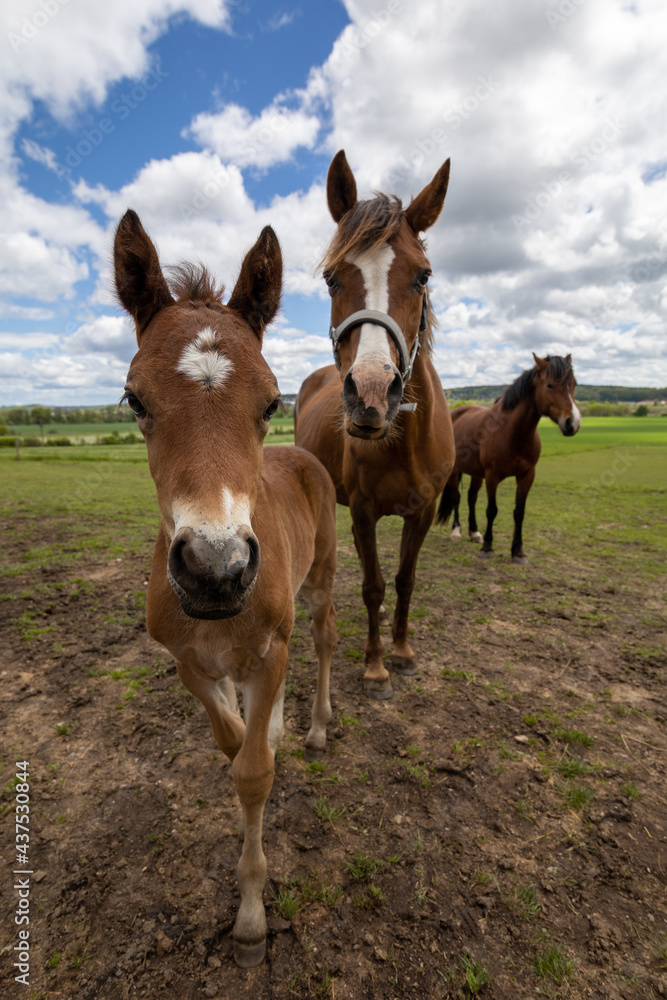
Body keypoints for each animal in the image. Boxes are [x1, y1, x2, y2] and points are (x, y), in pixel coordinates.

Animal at [113, 210, 337, 968]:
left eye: (270, 400)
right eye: (133, 399)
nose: (216, 568)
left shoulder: (270, 645)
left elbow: (253, 771)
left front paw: (249, 915)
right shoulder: (187, 660)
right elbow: (231, 742)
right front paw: (250, 732)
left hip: (322, 580)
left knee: (323, 640)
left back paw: (317, 724)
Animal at [294, 150, 454, 700]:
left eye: (423, 276)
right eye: (331, 277)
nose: (369, 394)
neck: (403, 442)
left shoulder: (424, 511)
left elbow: (404, 581)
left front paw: (402, 652)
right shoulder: (363, 513)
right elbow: (373, 585)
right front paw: (375, 666)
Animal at [437, 353, 581, 563]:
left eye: (574, 384)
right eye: (550, 385)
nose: (573, 423)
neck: (512, 432)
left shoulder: (527, 476)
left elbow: (519, 512)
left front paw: (518, 551)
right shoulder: (492, 476)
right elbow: (492, 510)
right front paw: (488, 548)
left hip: (476, 473)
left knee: (471, 498)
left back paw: (474, 532)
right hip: (456, 471)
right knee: (457, 497)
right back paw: (457, 532)